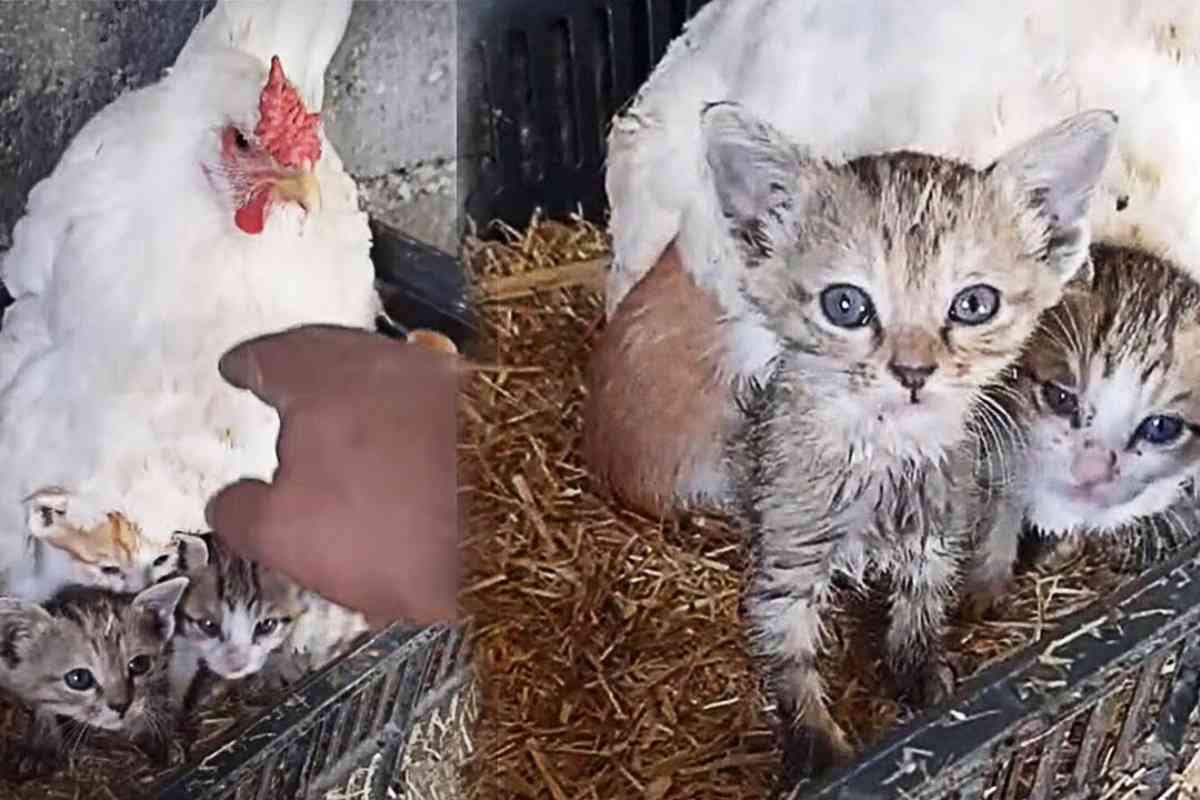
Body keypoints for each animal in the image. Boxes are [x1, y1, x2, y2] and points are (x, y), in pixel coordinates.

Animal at [0, 575, 187, 782]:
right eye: (78, 678)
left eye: (139, 664)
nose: (122, 706)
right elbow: (42, 705)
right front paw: (40, 744)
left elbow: (157, 698)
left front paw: (161, 737)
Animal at [705, 101, 1118, 782]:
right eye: (846, 305)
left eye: (975, 304)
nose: (914, 370)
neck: (886, 450)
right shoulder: (786, 555)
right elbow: (787, 651)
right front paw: (815, 744)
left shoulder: (939, 533)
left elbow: (922, 606)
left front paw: (921, 673)